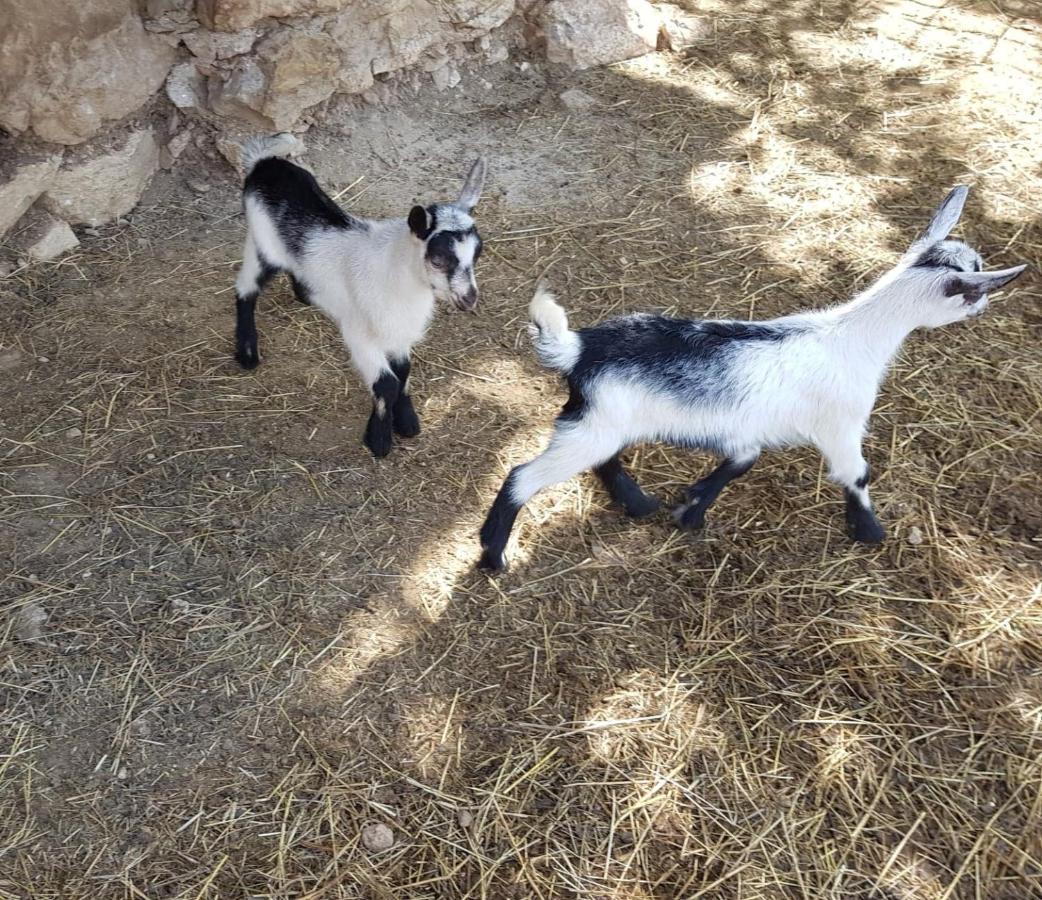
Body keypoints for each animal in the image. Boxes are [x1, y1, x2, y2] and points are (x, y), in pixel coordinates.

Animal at [234, 133, 485, 456]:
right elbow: (387, 383)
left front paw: (407, 421)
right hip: (260, 245)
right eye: (439, 258)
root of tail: (265, 162)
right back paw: (247, 352)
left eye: (477, 254)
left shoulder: (398, 331)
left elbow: (404, 371)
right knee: (245, 290)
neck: (396, 274)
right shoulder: (360, 334)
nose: (469, 299)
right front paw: (378, 440)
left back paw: (306, 296)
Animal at [477, 186, 1025, 575]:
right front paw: (869, 531)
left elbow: (740, 462)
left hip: (602, 421)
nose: (985, 306)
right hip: (592, 427)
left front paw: (690, 509)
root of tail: (580, 347)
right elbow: (856, 474)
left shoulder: (745, 429)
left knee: (603, 459)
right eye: (975, 287)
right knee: (522, 476)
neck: (854, 337)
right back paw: (492, 556)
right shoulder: (841, 424)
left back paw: (638, 503)